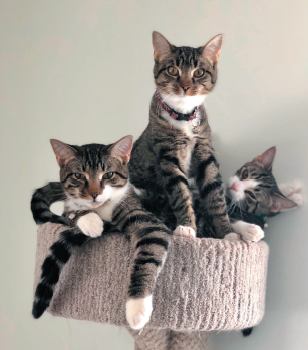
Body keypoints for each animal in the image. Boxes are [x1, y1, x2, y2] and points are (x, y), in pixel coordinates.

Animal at [31, 135, 173, 330]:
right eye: (78, 175)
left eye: (108, 174)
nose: (94, 193)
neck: (102, 208)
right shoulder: (68, 210)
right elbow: (71, 212)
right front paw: (90, 221)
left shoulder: (145, 219)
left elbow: (148, 255)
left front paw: (137, 307)